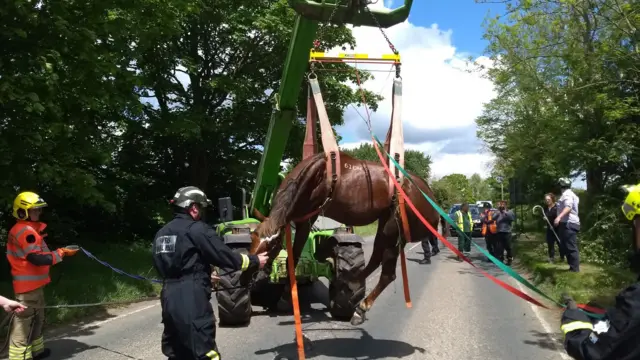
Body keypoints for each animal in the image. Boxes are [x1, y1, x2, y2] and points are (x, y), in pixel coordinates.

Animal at [249, 150, 444, 324]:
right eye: (252, 238)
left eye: (273, 245)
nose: (254, 270)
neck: (316, 173)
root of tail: (426, 193)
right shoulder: (300, 219)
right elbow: (295, 255)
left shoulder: (307, 218)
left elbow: (295, 256)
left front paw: (285, 296)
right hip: (386, 226)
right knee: (375, 259)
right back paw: (351, 284)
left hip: (394, 231)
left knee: (387, 275)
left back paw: (360, 305)